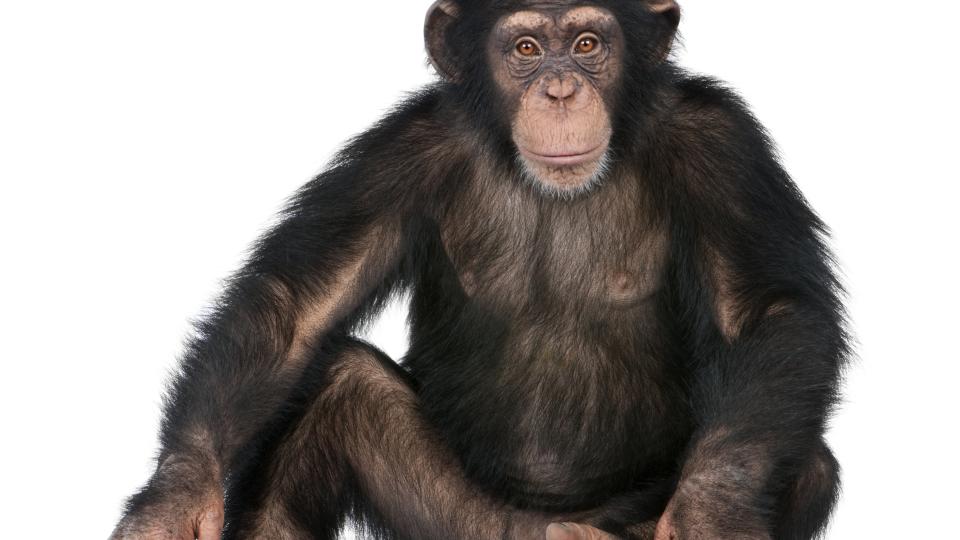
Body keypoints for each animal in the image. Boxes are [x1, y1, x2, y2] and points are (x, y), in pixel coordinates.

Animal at [110, 1, 847, 539]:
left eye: (588, 43)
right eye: (525, 49)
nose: (559, 88)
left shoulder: (722, 146)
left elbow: (765, 309)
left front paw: (712, 508)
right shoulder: (402, 152)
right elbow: (300, 305)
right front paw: (173, 498)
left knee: (805, 460)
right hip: (460, 523)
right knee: (336, 389)